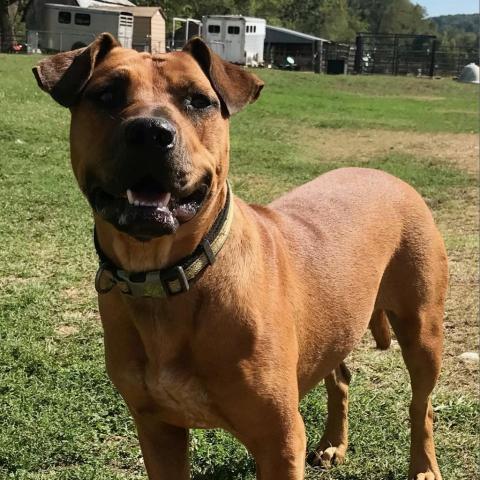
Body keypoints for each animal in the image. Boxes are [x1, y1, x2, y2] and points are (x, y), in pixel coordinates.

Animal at [32, 33, 446, 480]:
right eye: (107, 94)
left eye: (199, 100)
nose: (149, 132)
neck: (168, 275)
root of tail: (385, 175)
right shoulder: (156, 429)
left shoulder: (279, 439)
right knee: (340, 376)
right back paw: (334, 443)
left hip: (422, 328)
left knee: (421, 404)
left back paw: (424, 466)